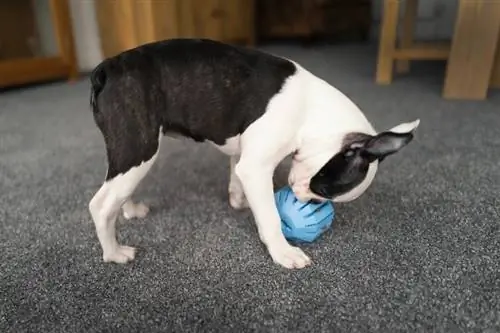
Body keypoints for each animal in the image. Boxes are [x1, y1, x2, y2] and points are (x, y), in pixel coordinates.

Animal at [88, 37, 420, 268]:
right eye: (323, 190)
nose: (307, 200)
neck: (312, 112)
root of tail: (106, 68)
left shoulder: (245, 158)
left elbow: (237, 177)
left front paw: (241, 201)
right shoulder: (257, 167)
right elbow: (271, 217)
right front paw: (283, 252)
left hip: (129, 153)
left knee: (116, 187)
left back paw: (130, 210)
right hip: (139, 146)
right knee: (101, 205)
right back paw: (114, 253)